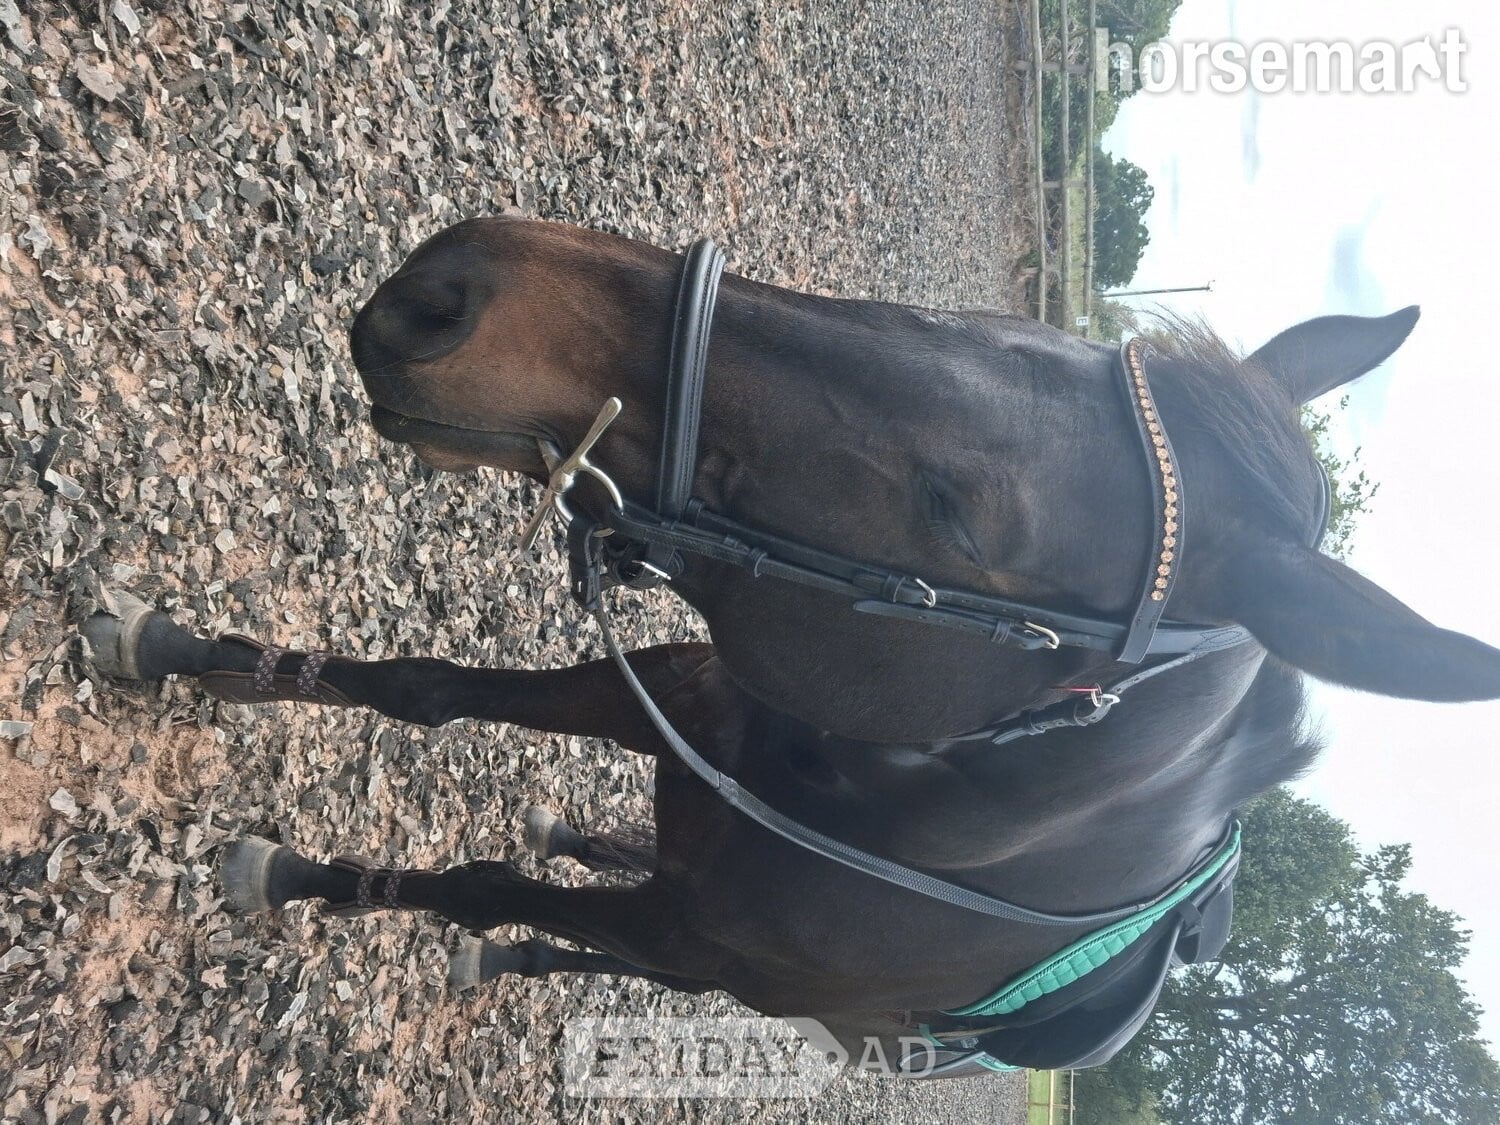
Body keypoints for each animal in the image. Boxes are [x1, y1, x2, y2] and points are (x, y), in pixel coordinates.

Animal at [82, 217, 1500, 1078]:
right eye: (1022, 332)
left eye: (956, 510)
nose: (456, 285)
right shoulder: (687, 690)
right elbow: (428, 689)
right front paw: (190, 652)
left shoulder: (701, 937)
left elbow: (479, 885)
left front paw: (304, 878)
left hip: (722, 975)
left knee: (598, 940)